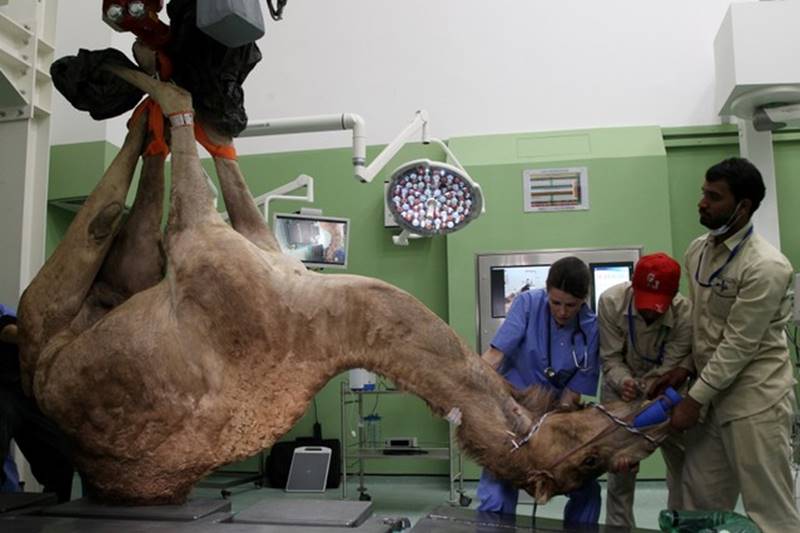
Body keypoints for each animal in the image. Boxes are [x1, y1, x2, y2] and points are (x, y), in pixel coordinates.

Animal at [16, 66, 669, 505]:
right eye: (593, 453)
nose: (655, 421)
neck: (329, 317)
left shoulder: (204, 246)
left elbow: (182, 117)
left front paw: (161, 85)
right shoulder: (257, 247)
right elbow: (225, 165)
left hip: (48, 327)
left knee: (102, 222)